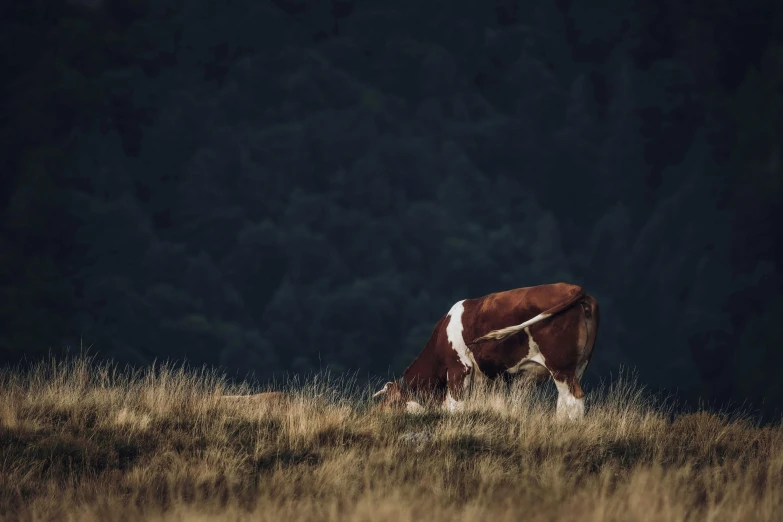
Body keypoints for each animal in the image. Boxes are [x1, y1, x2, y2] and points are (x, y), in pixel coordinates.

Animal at [372, 280, 600, 418]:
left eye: (391, 403)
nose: (376, 413)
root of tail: (573, 288)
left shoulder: (459, 368)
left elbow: (456, 406)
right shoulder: (492, 378)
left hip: (560, 365)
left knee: (572, 399)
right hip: (579, 365)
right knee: (565, 402)